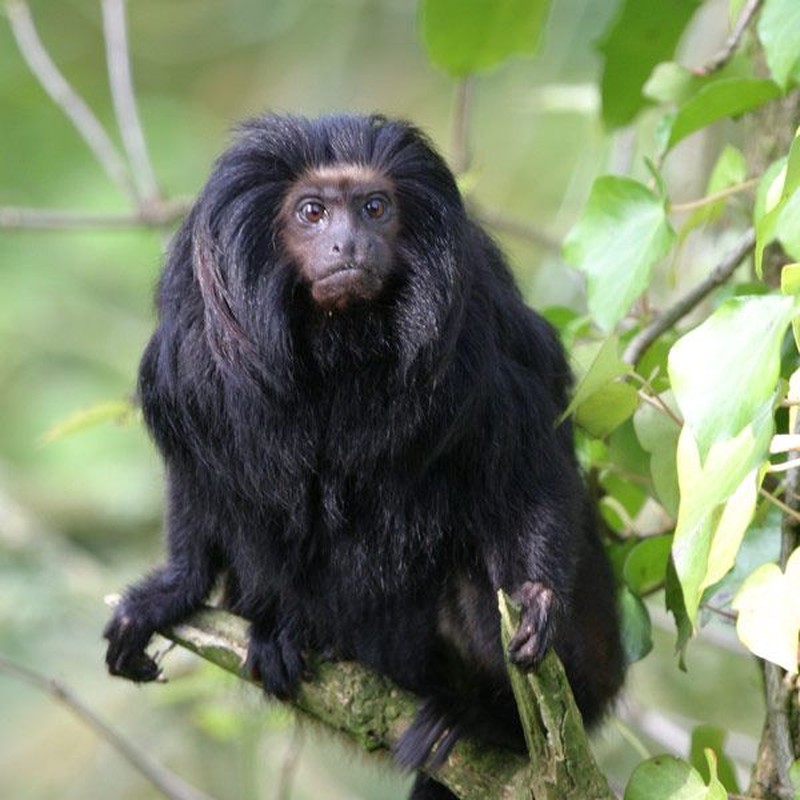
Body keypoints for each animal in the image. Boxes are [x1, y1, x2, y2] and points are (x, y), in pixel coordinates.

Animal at [103, 112, 624, 800]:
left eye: (375, 208)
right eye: (313, 212)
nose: (349, 244)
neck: (339, 340)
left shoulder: (475, 330)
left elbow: (527, 465)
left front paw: (537, 596)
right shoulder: (194, 353)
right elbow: (201, 477)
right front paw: (174, 591)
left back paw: (479, 717)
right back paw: (288, 634)